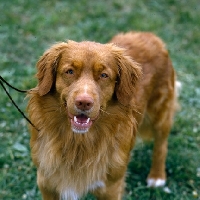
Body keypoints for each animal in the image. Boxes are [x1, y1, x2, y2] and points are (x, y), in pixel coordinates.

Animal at [27, 31, 177, 198]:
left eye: (104, 75)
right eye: (70, 71)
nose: (84, 102)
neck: (78, 142)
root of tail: (148, 35)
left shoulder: (111, 187)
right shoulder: (47, 182)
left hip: (160, 114)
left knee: (161, 145)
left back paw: (157, 176)